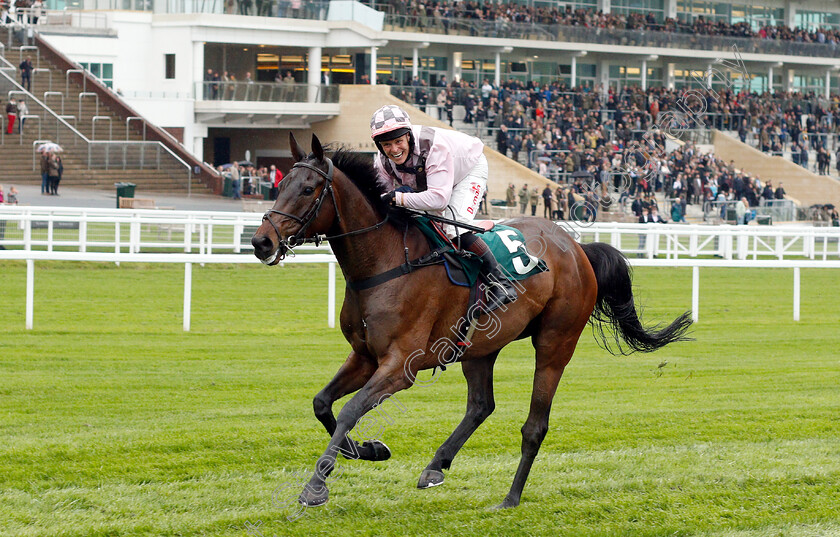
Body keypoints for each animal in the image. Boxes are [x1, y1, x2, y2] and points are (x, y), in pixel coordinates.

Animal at [249, 132, 688, 508]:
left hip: (555, 342)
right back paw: (436, 466)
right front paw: (370, 450)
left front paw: (316, 486)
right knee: (481, 405)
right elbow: (323, 404)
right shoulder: (365, 356)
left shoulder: (400, 366)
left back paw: (510, 497)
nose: (260, 242)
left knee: (535, 424)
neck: (385, 263)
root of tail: (577, 248)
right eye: (279, 185)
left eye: (308, 189)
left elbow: (351, 410)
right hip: (480, 346)